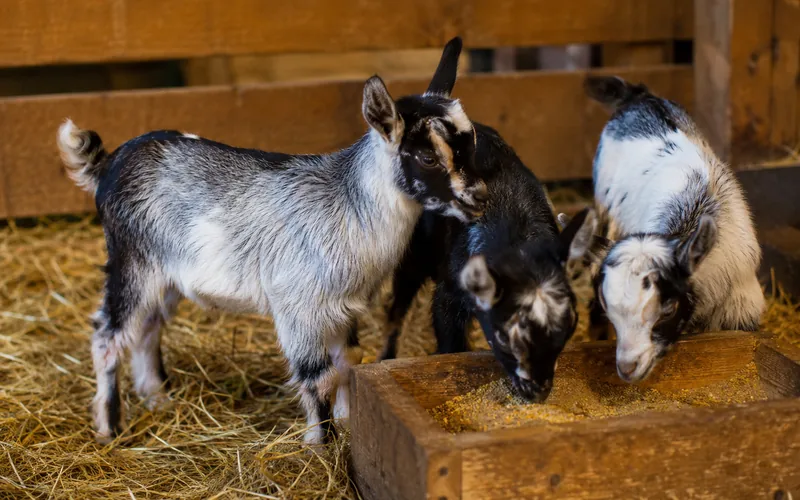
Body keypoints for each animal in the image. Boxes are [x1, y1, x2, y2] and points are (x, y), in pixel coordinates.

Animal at [56, 37, 489, 445]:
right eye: (428, 158)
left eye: (471, 143)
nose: (481, 197)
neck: (349, 206)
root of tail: (109, 163)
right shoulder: (298, 308)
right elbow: (319, 376)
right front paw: (321, 445)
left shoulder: (344, 308)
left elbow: (349, 359)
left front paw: (349, 423)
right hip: (132, 260)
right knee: (108, 335)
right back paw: (109, 427)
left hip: (165, 275)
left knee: (146, 327)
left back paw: (157, 399)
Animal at [378, 122, 595, 402]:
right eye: (503, 337)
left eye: (568, 328)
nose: (537, 392)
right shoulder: (449, 294)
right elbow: (450, 342)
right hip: (413, 251)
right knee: (399, 303)